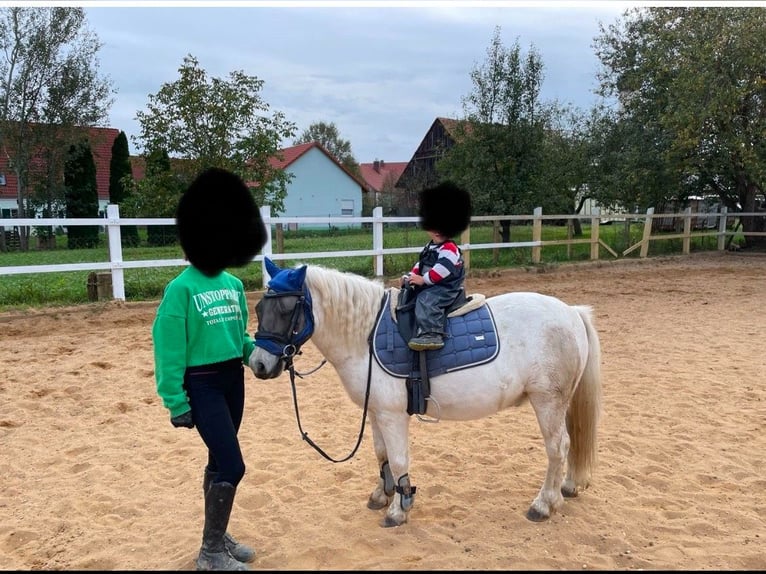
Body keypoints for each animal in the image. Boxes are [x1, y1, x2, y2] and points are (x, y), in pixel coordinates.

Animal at [252, 260, 608, 532]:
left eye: (286, 309)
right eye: (259, 307)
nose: (258, 364)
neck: (365, 335)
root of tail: (572, 312)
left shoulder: (392, 415)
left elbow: (398, 460)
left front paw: (399, 508)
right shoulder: (376, 412)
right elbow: (381, 455)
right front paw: (382, 495)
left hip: (548, 401)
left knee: (558, 447)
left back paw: (544, 504)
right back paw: (568, 487)